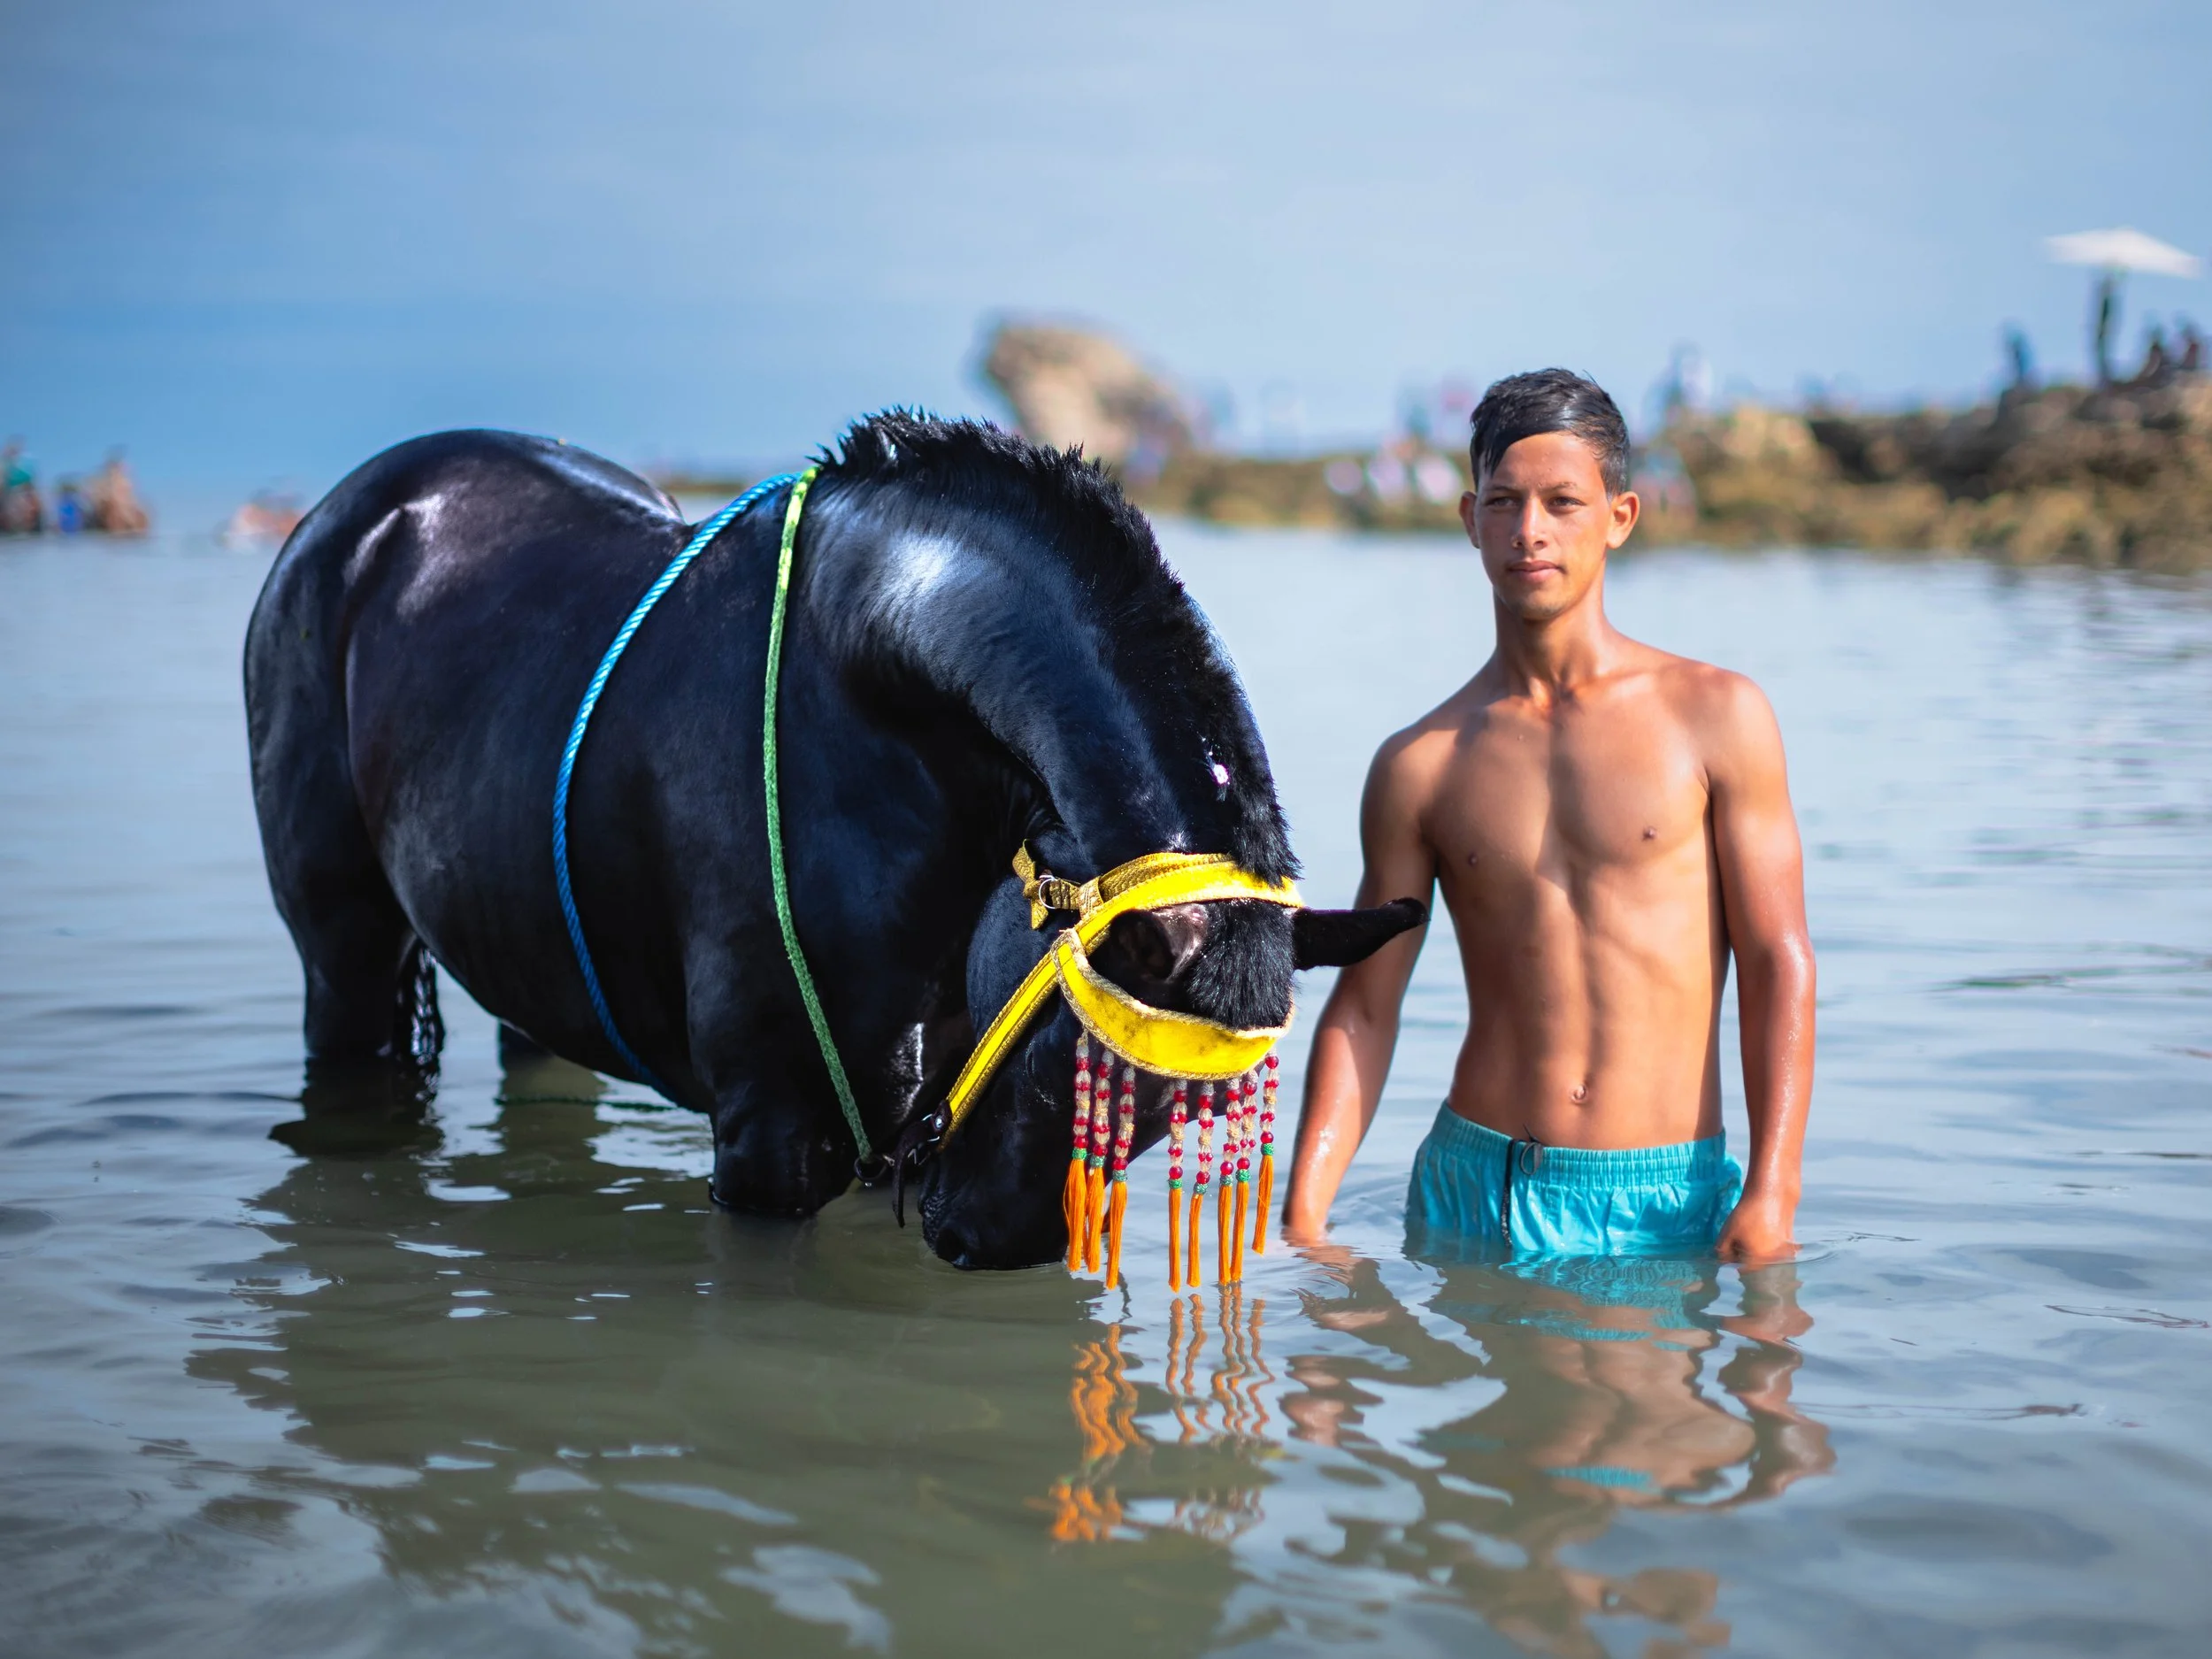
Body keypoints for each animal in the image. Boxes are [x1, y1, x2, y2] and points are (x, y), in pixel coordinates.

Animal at [244, 414, 1421, 1268]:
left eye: (1178, 1114)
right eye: (1066, 1068)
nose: (991, 1246)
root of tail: (349, 512)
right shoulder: (767, 1135)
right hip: (343, 950)